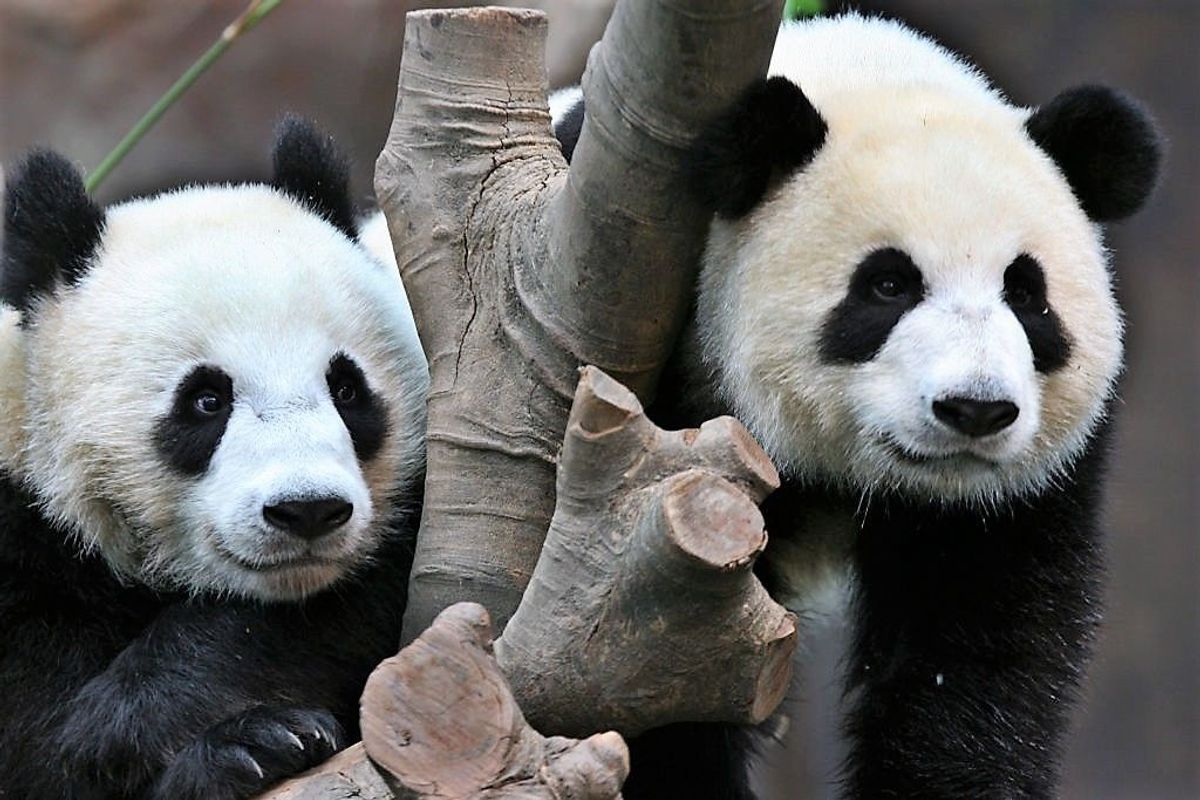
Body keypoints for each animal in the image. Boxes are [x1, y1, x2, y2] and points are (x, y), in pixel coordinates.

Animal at [0, 117, 428, 799]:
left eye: (346, 389)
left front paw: (141, 716)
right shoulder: (23, 537)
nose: (307, 510)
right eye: (205, 400)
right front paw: (243, 746)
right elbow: (35, 755)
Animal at [552, 14, 1161, 800]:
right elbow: (659, 662)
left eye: (1027, 294)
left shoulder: (1018, 495)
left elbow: (975, 658)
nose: (975, 410)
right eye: (888, 285)